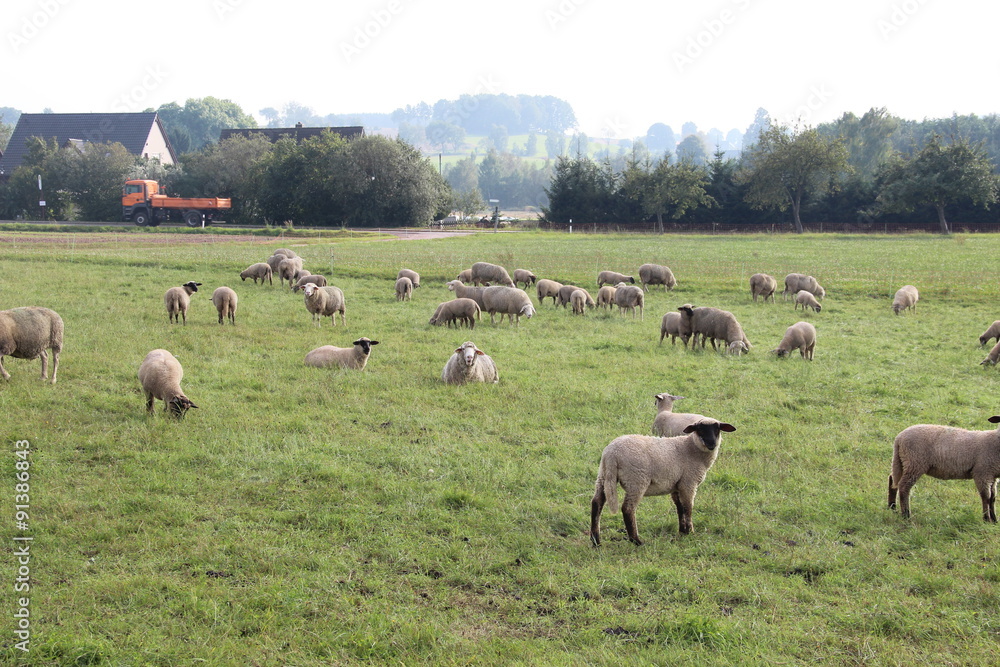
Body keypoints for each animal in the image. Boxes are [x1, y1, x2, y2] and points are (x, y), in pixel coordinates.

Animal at [590, 419, 737, 544]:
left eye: (717, 429)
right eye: (699, 429)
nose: (712, 443)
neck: (691, 448)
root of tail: (611, 453)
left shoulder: (677, 485)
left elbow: (680, 508)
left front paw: (682, 531)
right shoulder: (688, 483)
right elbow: (688, 508)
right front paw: (690, 532)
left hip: (603, 476)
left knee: (597, 503)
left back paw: (596, 540)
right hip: (636, 480)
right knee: (627, 509)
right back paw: (636, 541)